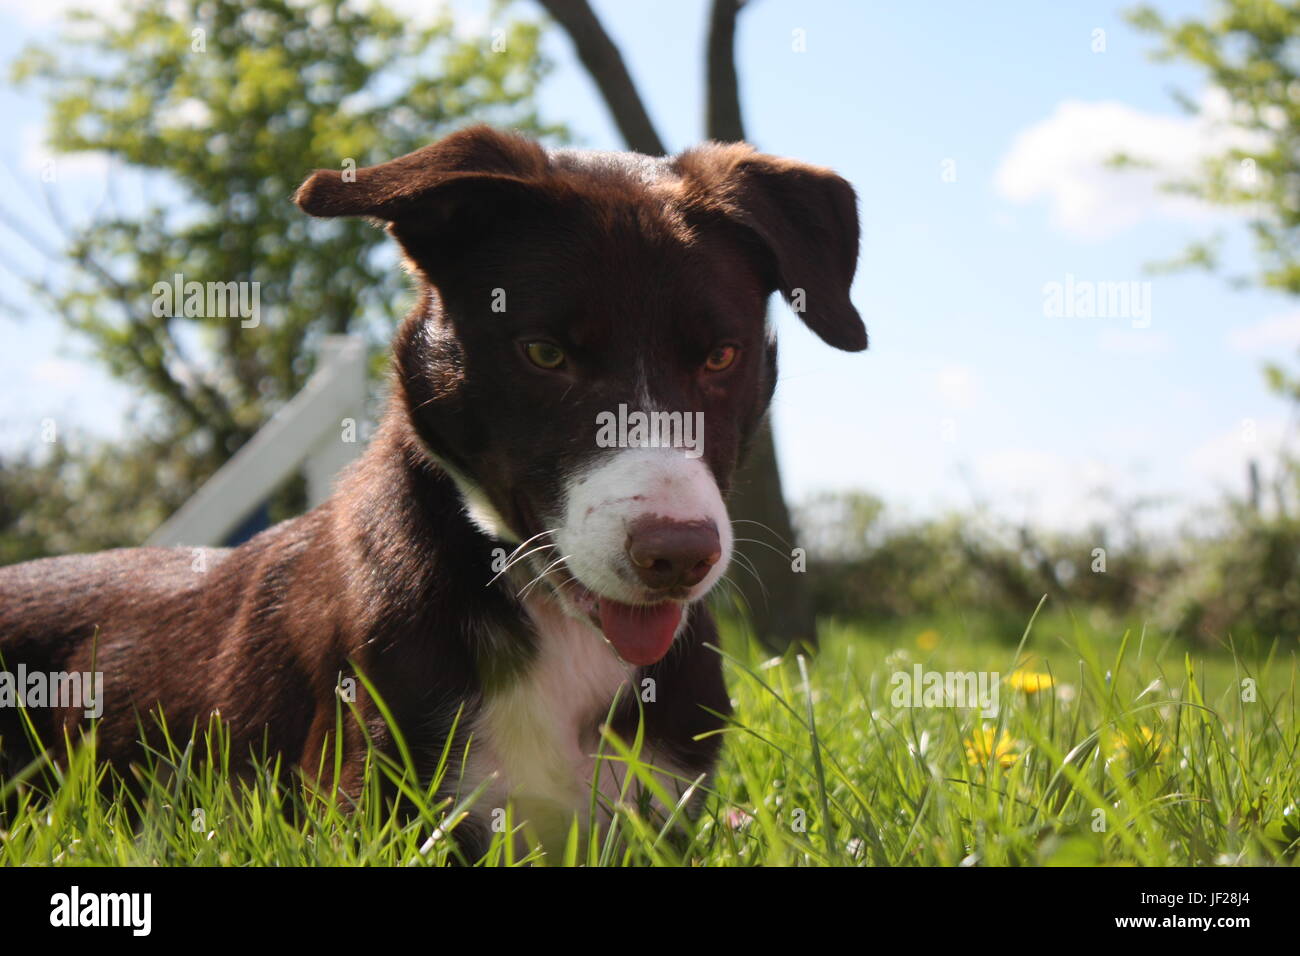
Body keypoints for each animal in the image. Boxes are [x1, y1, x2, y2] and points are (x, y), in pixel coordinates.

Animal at [0, 127, 863, 858]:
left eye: (721, 356)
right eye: (544, 353)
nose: (678, 555)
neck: (552, 623)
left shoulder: (661, 809)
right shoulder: (391, 812)